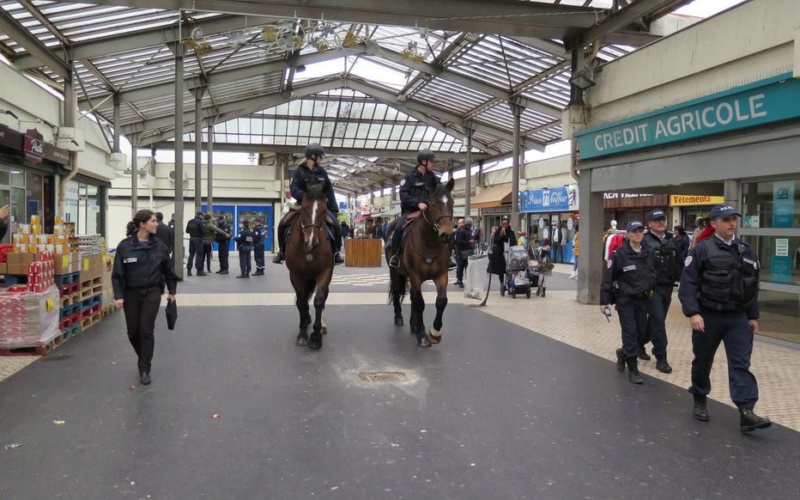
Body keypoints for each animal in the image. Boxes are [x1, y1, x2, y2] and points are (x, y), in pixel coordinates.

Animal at [284, 179, 334, 348]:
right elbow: (301, 302)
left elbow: (319, 300)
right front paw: (302, 333)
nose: (311, 242)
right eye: (304, 209)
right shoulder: (296, 274)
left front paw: (316, 336)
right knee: (304, 299)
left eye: (324, 211)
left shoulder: (325, 271)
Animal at [388, 178, 456, 346]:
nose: (447, 234)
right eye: (432, 203)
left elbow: (441, 301)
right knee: (397, 291)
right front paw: (422, 335)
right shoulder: (415, 276)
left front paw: (435, 333)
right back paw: (399, 317)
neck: (429, 242)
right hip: (395, 272)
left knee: (412, 297)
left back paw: (413, 324)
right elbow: (420, 303)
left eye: (451, 203)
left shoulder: (441, 275)